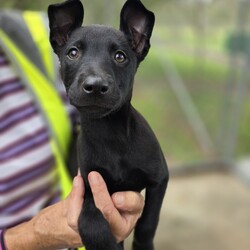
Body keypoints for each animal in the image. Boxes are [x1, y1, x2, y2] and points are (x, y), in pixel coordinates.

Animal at [47, 0, 169, 250]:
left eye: (120, 57)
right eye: (73, 52)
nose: (95, 85)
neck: (110, 135)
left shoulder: (160, 177)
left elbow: (148, 221)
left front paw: (143, 245)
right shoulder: (89, 187)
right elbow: (90, 221)